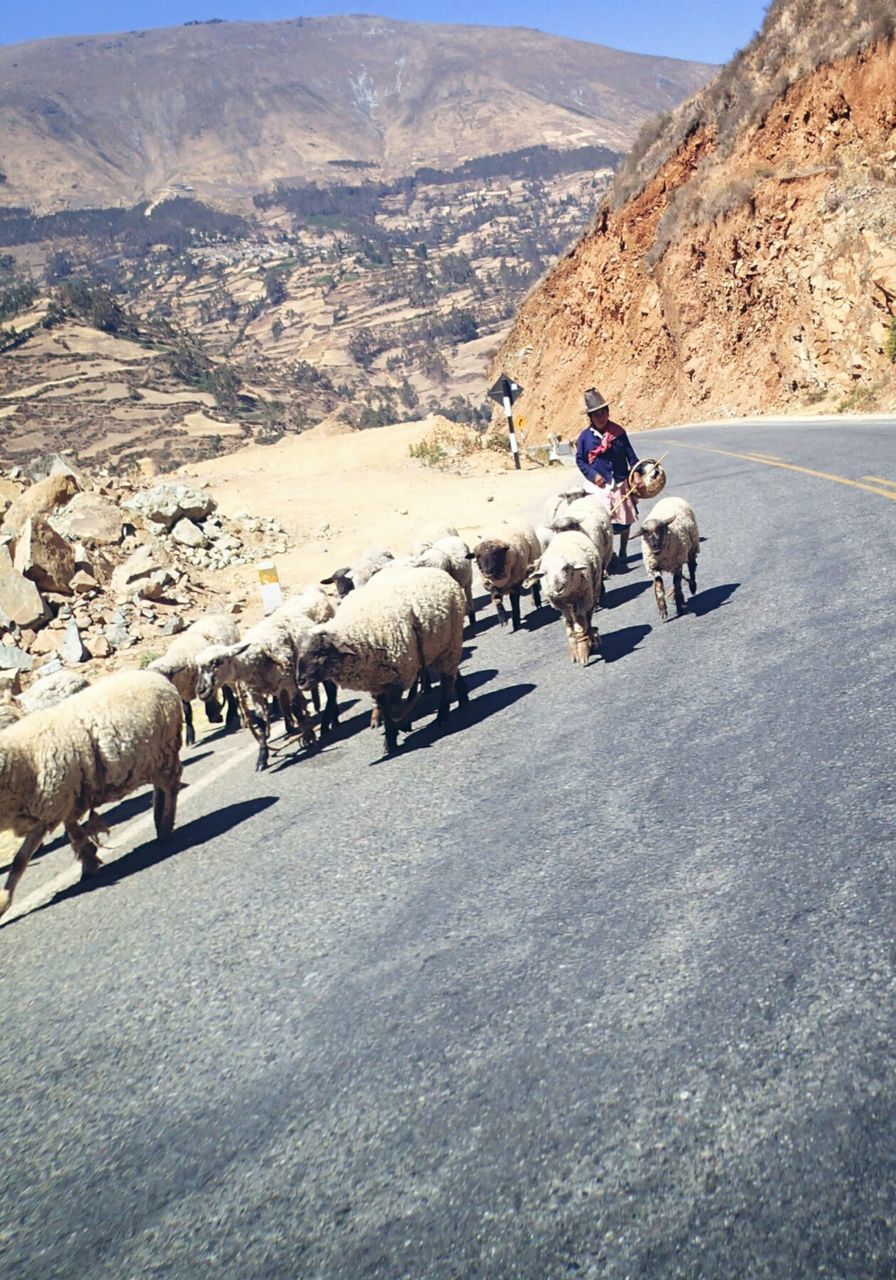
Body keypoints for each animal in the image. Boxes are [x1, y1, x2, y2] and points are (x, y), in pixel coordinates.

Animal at [0, 670, 181, 921]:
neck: (23, 759)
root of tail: (157, 677)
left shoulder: (48, 812)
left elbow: (19, 860)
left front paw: (3, 902)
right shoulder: (63, 803)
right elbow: (74, 833)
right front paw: (89, 861)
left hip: (165, 751)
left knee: (171, 786)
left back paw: (164, 826)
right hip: (151, 759)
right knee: (160, 787)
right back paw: (158, 819)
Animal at [150, 614, 241, 747]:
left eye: (164, 678)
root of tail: (217, 615)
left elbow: (210, 702)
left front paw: (215, 716)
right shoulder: (183, 692)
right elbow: (187, 712)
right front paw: (189, 737)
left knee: (229, 692)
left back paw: (231, 715)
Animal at [296, 565, 473, 752]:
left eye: (320, 653)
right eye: (300, 653)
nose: (301, 681)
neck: (360, 633)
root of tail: (436, 570)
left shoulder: (400, 674)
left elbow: (393, 708)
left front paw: (402, 724)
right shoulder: (378, 681)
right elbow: (385, 708)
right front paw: (390, 739)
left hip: (451, 641)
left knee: (447, 679)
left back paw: (443, 716)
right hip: (442, 645)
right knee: (453, 672)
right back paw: (462, 697)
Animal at [527, 527, 606, 665]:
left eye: (566, 568)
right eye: (545, 573)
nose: (558, 588)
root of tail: (567, 531)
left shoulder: (583, 598)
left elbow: (580, 621)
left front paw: (583, 650)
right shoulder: (560, 604)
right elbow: (569, 622)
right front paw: (574, 650)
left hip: (593, 591)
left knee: (588, 616)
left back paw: (591, 636)